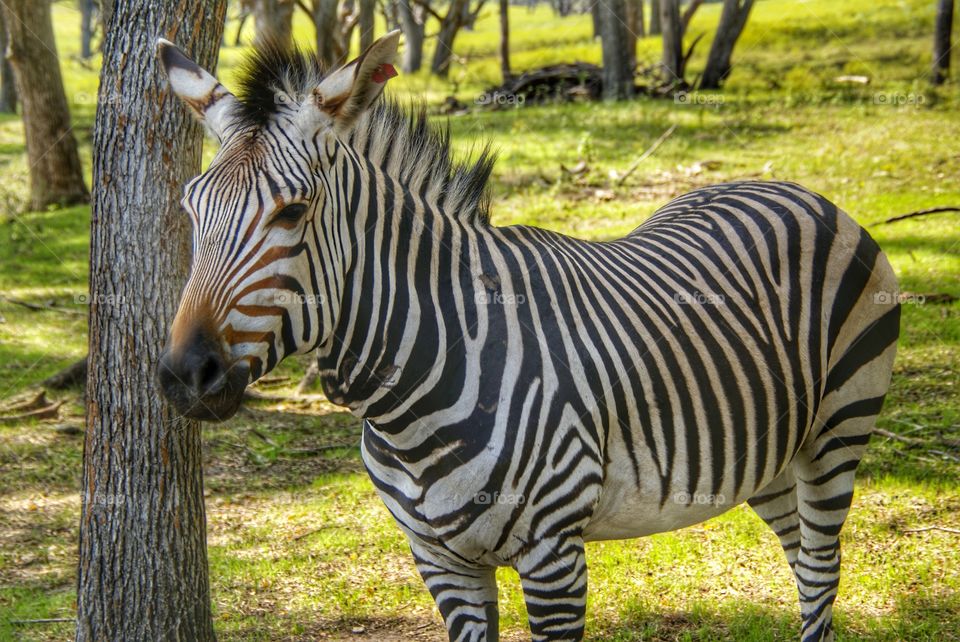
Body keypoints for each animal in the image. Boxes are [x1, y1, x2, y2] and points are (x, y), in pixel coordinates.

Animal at [156, 31, 900, 642]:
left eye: (293, 212)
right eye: (190, 207)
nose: (184, 375)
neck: (409, 397)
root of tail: (793, 188)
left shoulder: (554, 557)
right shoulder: (441, 562)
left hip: (837, 430)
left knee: (820, 571)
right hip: (768, 450)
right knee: (800, 557)